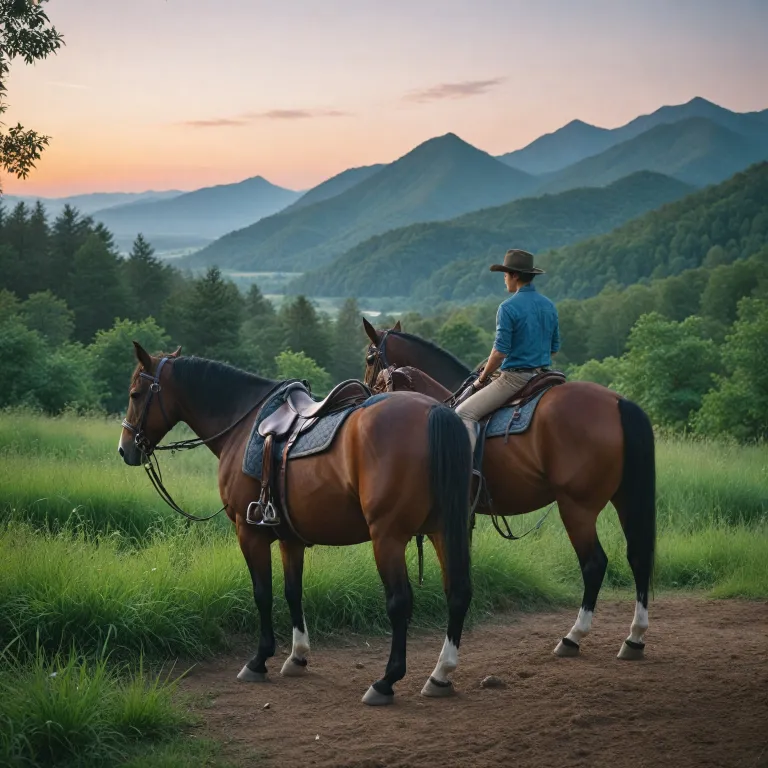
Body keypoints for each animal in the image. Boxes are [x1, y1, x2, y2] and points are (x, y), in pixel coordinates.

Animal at [118, 342, 473, 706]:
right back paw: (441, 674)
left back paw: (386, 681)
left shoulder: (249, 533)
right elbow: (292, 592)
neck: (242, 423)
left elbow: (262, 593)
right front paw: (297, 656)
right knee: (458, 592)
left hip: (387, 537)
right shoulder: (291, 539)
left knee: (400, 602)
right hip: (443, 530)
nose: (125, 448)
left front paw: (259, 659)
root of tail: (435, 411)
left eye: (135, 394)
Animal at [362, 319, 657, 662]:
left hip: (577, 508)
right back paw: (634, 638)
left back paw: (573, 637)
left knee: (594, 564)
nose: (366, 398)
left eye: (370, 358)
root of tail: (619, 404)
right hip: (625, 498)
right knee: (638, 556)